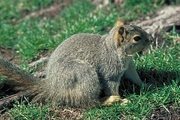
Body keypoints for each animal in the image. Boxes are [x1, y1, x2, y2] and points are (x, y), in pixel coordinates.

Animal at [0, 18, 153, 108]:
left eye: (139, 27)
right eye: (137, 38)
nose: (151, 39)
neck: (115, 50)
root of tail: (53, 86)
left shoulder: (129, 66)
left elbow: (135, 77)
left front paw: (146, 85)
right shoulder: (110, 72)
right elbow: (112, 86)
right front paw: (121, 101)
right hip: (83, 74)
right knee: (89, 102)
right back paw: (108, 101)